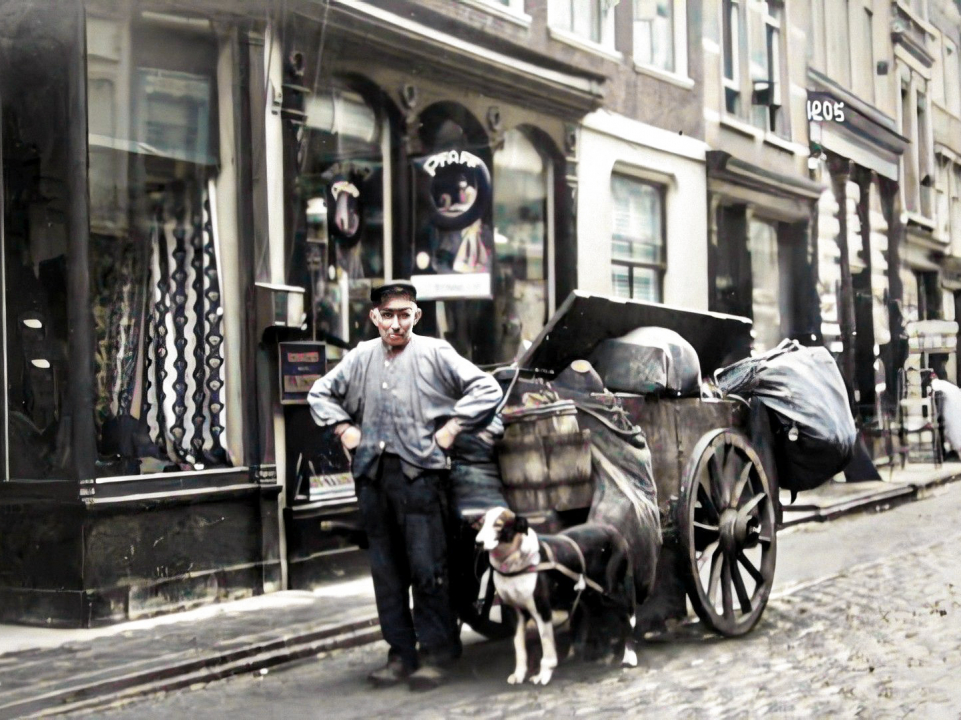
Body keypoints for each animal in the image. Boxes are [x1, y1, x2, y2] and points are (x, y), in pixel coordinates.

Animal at [474, 506, 636, 688]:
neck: (515, 564)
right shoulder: (515, 614)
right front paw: (519, 674)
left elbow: (547, 649)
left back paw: (629, 655)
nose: (478, 542)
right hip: (591, 596)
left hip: (609, 593)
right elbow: (519, 647)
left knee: (627, 620)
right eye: (481, 523)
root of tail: (613, 531)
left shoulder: (542, 611)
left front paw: (543, 675)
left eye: (498, 525)